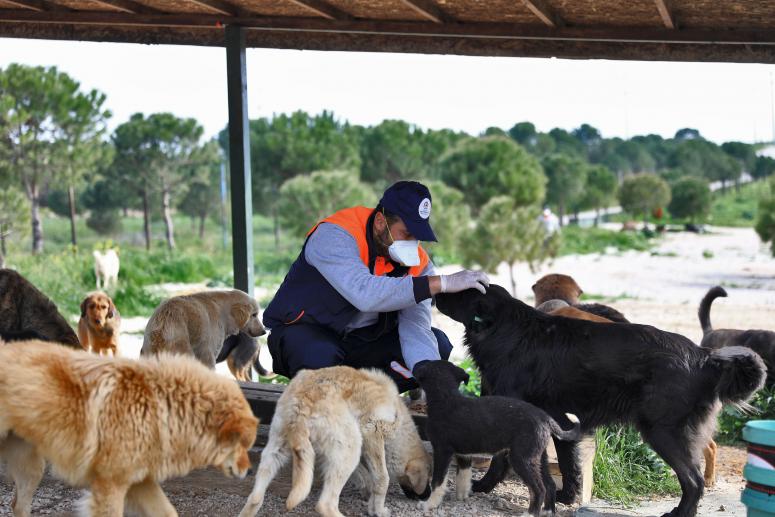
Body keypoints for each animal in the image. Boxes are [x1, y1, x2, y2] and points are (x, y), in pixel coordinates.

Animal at [0, 338, 260, 516]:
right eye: (242, 445)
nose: (249, 471)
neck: (161, 406)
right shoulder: (110, 486)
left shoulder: (140, 482)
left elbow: (168, 512)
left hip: (32, 468)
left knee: (17, 505)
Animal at [238, 364, 430, 512]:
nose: (427, 496)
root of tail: (301, 403)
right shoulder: (371, 432)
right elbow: (382, 479)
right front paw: (379, 510)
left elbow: (364, 474)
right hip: (352, 445)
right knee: (325, 505)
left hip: (275, 450)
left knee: (254, 498)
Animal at [416, 358, 580, 516]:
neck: (446, 397)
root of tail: (546, 418)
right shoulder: (463, 454)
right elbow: (463, 476)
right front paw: (462, 496)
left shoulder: (442, 450)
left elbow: (437, 482)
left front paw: (429, 504)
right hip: (538, 457)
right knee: (550, 484)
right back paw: (548, 511)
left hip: (521, 458)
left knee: (539, 489)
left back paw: (530, 514)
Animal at [434, 284, 768, 512]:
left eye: (461, 293)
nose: (435, 292)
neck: (507, 329)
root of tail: (704, 357)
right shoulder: (558, 420)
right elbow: (567, 464)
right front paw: (564, 497)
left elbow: (501, 461)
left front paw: (483, 486)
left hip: (662, 431)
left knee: (694, 481)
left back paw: (678, 514)